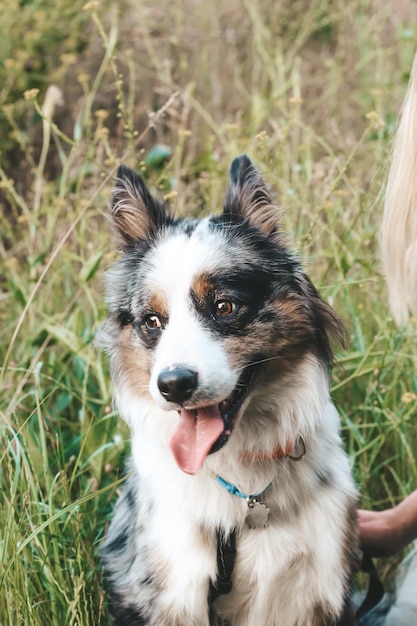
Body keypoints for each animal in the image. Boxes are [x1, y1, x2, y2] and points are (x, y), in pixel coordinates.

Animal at [96, 152, 358, 624]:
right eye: (152, 321)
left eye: (223, 306)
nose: (173, 385)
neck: (244, 490)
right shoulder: (171, 586)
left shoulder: (310, 587)